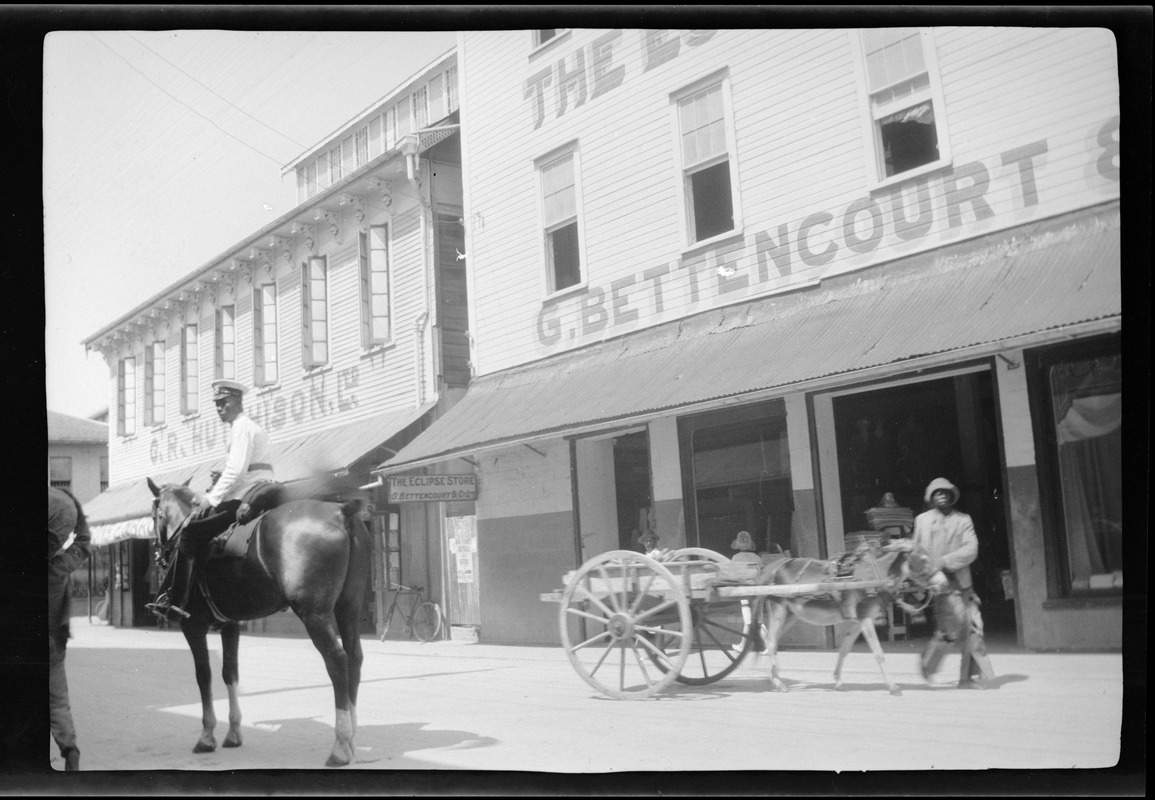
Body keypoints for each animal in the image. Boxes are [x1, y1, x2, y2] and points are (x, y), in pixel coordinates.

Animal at [144, 477, 369, 766]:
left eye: (155, 514)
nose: (159, 555)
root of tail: (341, 512)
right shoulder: (230, 625)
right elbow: (230, 673)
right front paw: (233, 732)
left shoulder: (192, 626)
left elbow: (203, 676)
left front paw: (207, 736)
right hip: (348, 607)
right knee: (354, 658)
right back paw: (350, 738)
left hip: (314, 615)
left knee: (337, 661)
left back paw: (340, 745)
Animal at [753, 540, 933, 697]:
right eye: (923, 558)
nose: (938, 582)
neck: (876, 574)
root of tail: (775, 567)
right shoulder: (865, 618)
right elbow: (878, 653)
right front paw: (893, 687)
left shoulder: (857, 621)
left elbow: (845, 649)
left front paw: (838, 682)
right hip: (778, 607)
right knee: (771, 641)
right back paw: (778, 683)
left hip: (792, 615)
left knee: (771, 640)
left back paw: (773, 678)